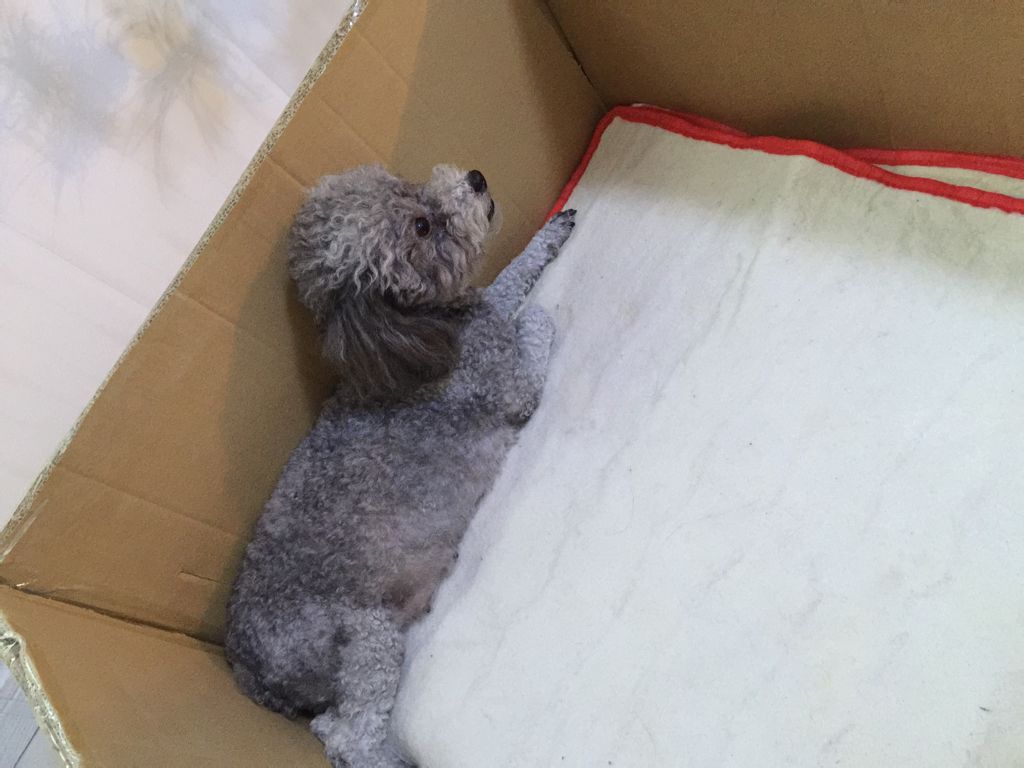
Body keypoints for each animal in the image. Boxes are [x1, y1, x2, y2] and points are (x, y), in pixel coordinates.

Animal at [224, 162, 576, 768]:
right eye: (421, 228)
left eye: (408, 187)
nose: (476, 178)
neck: (420, 332)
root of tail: (246, 669)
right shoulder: (510, 383)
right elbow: (531, 327)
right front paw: (538, 315)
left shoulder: (479, 308)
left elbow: (510, 276)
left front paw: (552, 233)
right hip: (370, 642)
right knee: (348, 736)